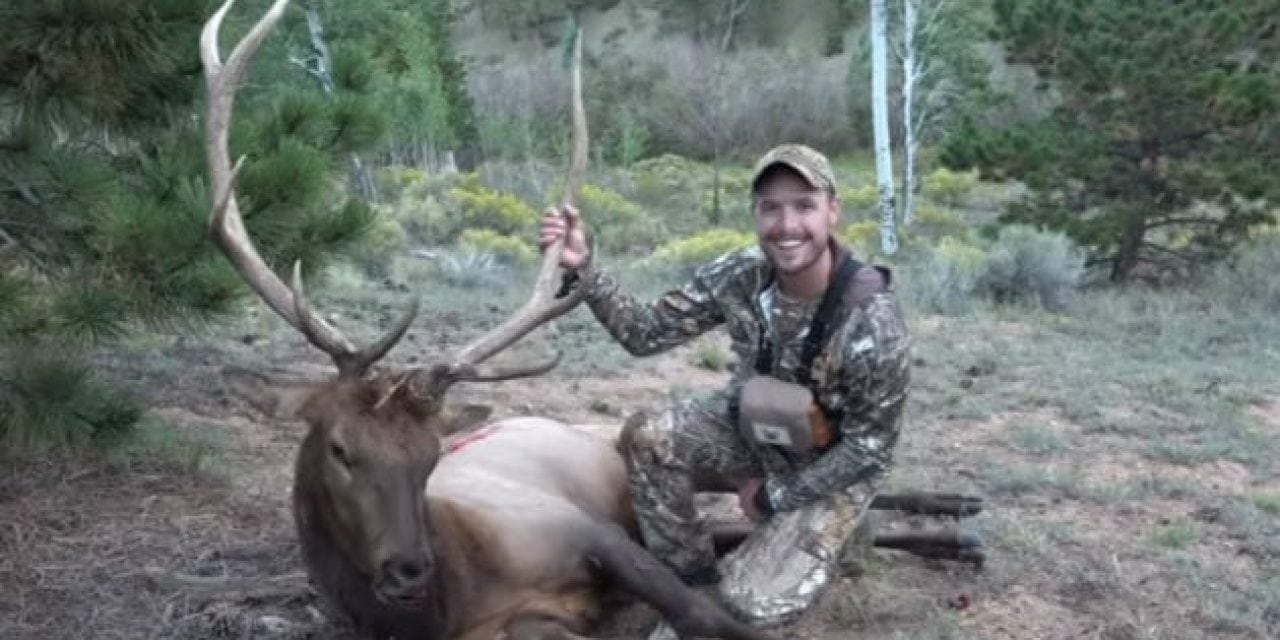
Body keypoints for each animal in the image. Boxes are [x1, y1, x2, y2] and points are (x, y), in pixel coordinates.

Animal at [200, 1, 778, 640]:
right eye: (340, 449)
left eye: (430, 456)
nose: (409, 568)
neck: (454, 599)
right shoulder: (529, 621)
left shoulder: (584, 531)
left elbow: (703, 611)